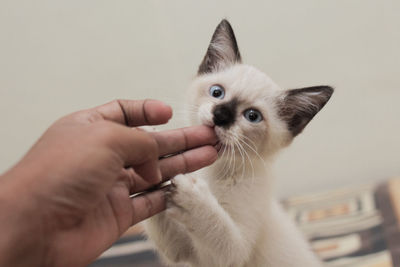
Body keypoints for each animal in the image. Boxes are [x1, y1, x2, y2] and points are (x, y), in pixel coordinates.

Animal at [144, 19, 332, 267]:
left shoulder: (227, 255)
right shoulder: (180, 251)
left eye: (252, 116)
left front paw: (191, 194)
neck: (212, 170)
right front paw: (145, 141)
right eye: (217, 92)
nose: (220, 116)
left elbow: (216, 225)